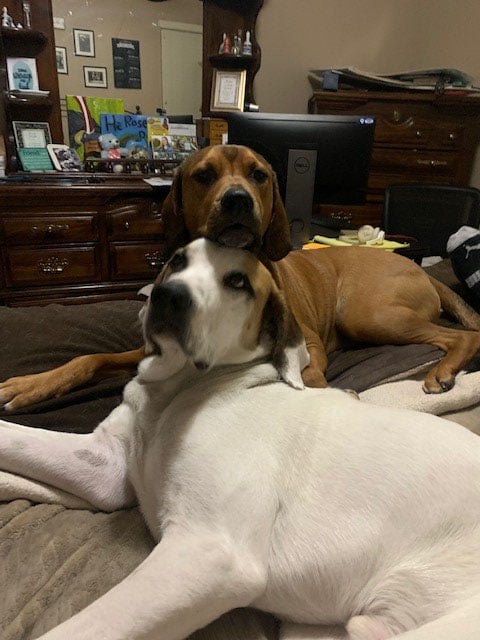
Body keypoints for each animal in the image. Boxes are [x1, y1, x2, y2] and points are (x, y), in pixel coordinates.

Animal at [0, 144, 480, 410]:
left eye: (258, 174)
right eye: (204, 175)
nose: (237, 199)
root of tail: (420, 269)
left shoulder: (308, 344)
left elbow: (308, 375)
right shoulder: (148, 347)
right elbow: (89, 359)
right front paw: (34, 383)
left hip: (369, 314)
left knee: (461, 336)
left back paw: (442, 372)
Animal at [0, 238, 480, 636]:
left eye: (237, 281)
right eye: (177, 260)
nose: (166, 295)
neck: (178, 391)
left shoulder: (211, 553)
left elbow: (81, 628)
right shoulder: (105, 463)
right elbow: (16, 436)